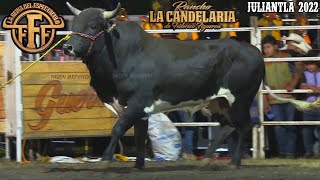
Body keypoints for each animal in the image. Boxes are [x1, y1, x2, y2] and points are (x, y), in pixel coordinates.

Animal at [62, 3, 264, 169]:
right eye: (75, 25)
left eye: (93, 26)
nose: (67, 47)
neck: (122, 55)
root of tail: (254, 50)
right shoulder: (137, 110)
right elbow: (140, 134)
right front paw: (139, 165)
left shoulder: (138, 102)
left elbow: (118, 128)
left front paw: (105, 159)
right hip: (219, 102)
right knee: (229, 126)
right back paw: (208, 159)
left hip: (240, 99)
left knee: (244, 125)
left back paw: (235, 162)